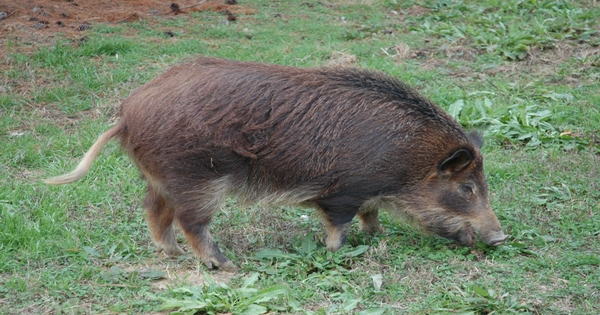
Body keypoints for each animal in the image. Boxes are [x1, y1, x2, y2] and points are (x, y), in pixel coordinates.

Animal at [45, 56, 506, 272]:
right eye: (467, 188)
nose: (500, 238)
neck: (406, 161)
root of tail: (127, 113)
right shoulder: (342, 191)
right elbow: (338, 225)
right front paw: (336, 253)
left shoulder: (368, 193)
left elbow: (371, 217)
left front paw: (377, 239)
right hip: (199, 177)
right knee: (191, 222)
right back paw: (225, 266)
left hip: (160, 178)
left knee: (155, 212)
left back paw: (171, 255)